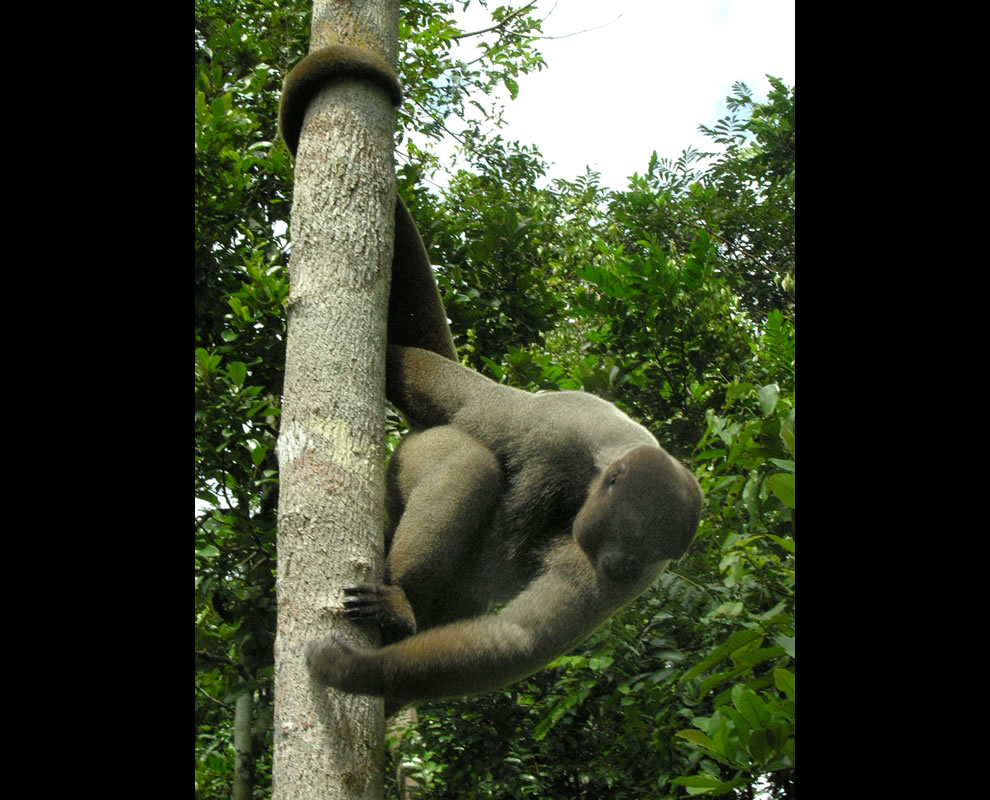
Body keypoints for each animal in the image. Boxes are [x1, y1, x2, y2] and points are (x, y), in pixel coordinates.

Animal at [280, 47, 704, 716]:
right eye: (631, 533)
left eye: (643, 555)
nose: (616, 567)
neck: (608, 457)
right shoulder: (553, 430)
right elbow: (435, 386)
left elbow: (517, 638)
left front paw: (357, 674)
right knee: (463, 452)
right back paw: (401, 601)